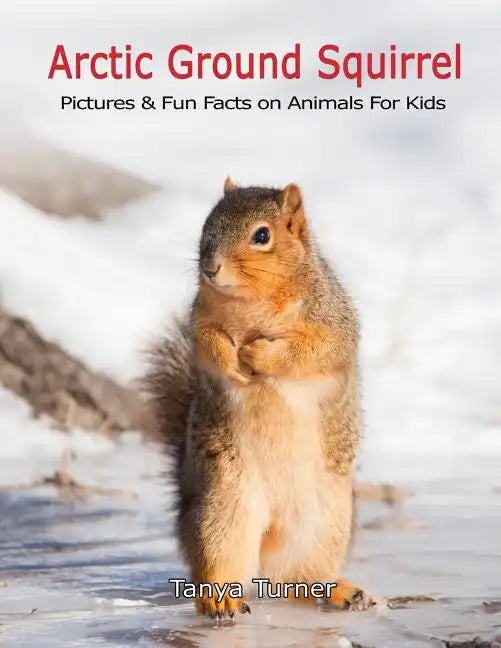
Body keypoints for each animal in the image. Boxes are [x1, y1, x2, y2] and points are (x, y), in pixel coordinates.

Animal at [144, 178, 375, 620]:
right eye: (208, 222)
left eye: (262, 236)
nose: (209, 267)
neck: (251, 302)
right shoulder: (200, 320)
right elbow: (208, 345)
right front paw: (233, 362)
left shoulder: (332, 323)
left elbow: (313, 351)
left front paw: (259, 355)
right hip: (224, 509)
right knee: (223, 560)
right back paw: (220, 598)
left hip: (324, 524)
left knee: (303, 578)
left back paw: (338, 591)